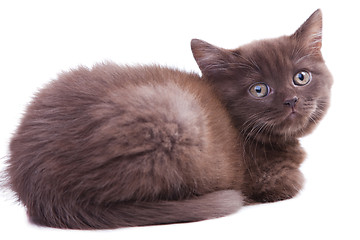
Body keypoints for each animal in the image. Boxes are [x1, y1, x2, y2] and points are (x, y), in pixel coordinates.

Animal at [5, 9, 332, 229]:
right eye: (259, 89)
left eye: (301, 77)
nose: (291, 101)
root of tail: (40, 190)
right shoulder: (270, 177)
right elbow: (293, 182)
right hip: (174, 124)